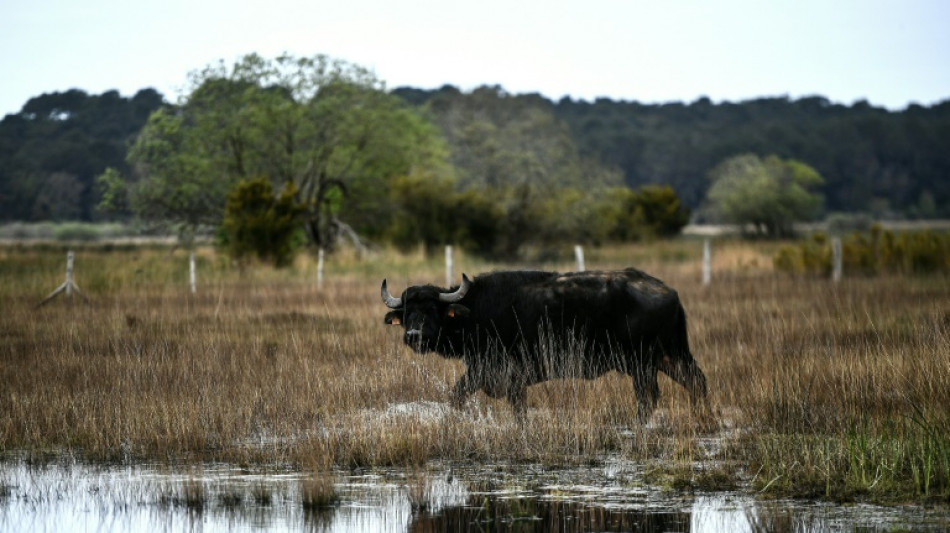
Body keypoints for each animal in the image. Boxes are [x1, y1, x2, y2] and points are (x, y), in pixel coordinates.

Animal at [384, 268, 712, 422]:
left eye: (430, 310)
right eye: (408, 311)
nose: (413, 335)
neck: (476, 311)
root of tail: (669, 291)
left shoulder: (500, 373)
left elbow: (473, 398)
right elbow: (460, 396)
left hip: (643, 363)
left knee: (649, 397)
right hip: (670, 356)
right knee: (696, 382)